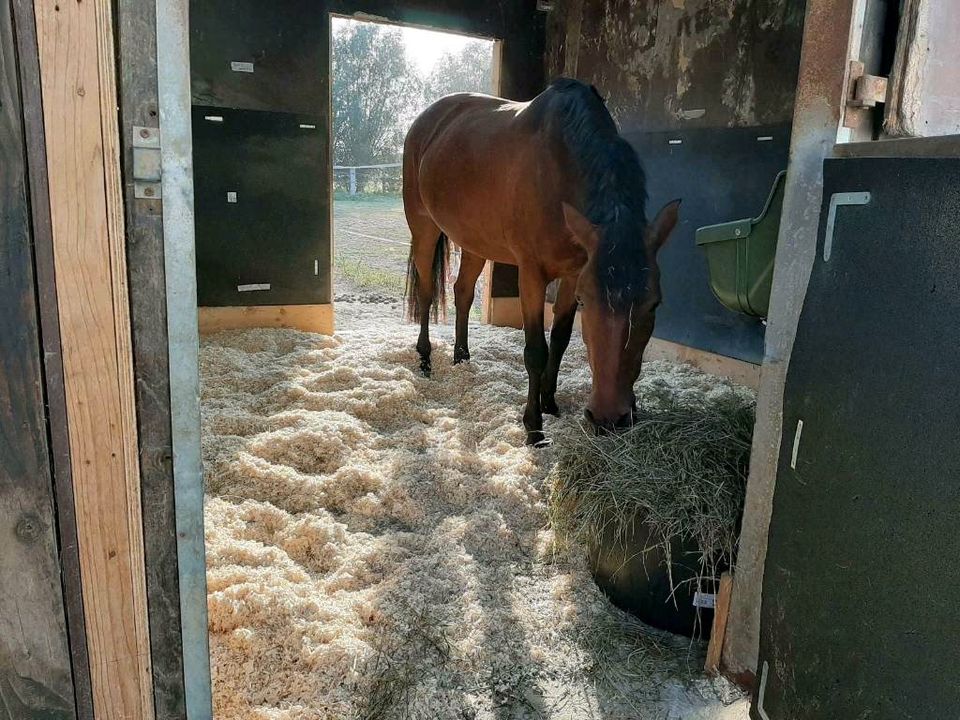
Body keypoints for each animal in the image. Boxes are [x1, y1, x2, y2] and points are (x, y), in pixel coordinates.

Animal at [402, 79, 680, 444]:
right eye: (587, 302)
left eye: (654, 304)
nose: (609, 418)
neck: (558, 169)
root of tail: (425, 120)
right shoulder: (532, 275)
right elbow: (536, 350)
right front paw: (533, 426)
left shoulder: (575, 273)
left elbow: (560, 339)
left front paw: (549, 402)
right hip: (424, 228)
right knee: (425, 292)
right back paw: (425, 358)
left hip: (475, 241)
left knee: (462, 292)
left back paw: (462, 357)